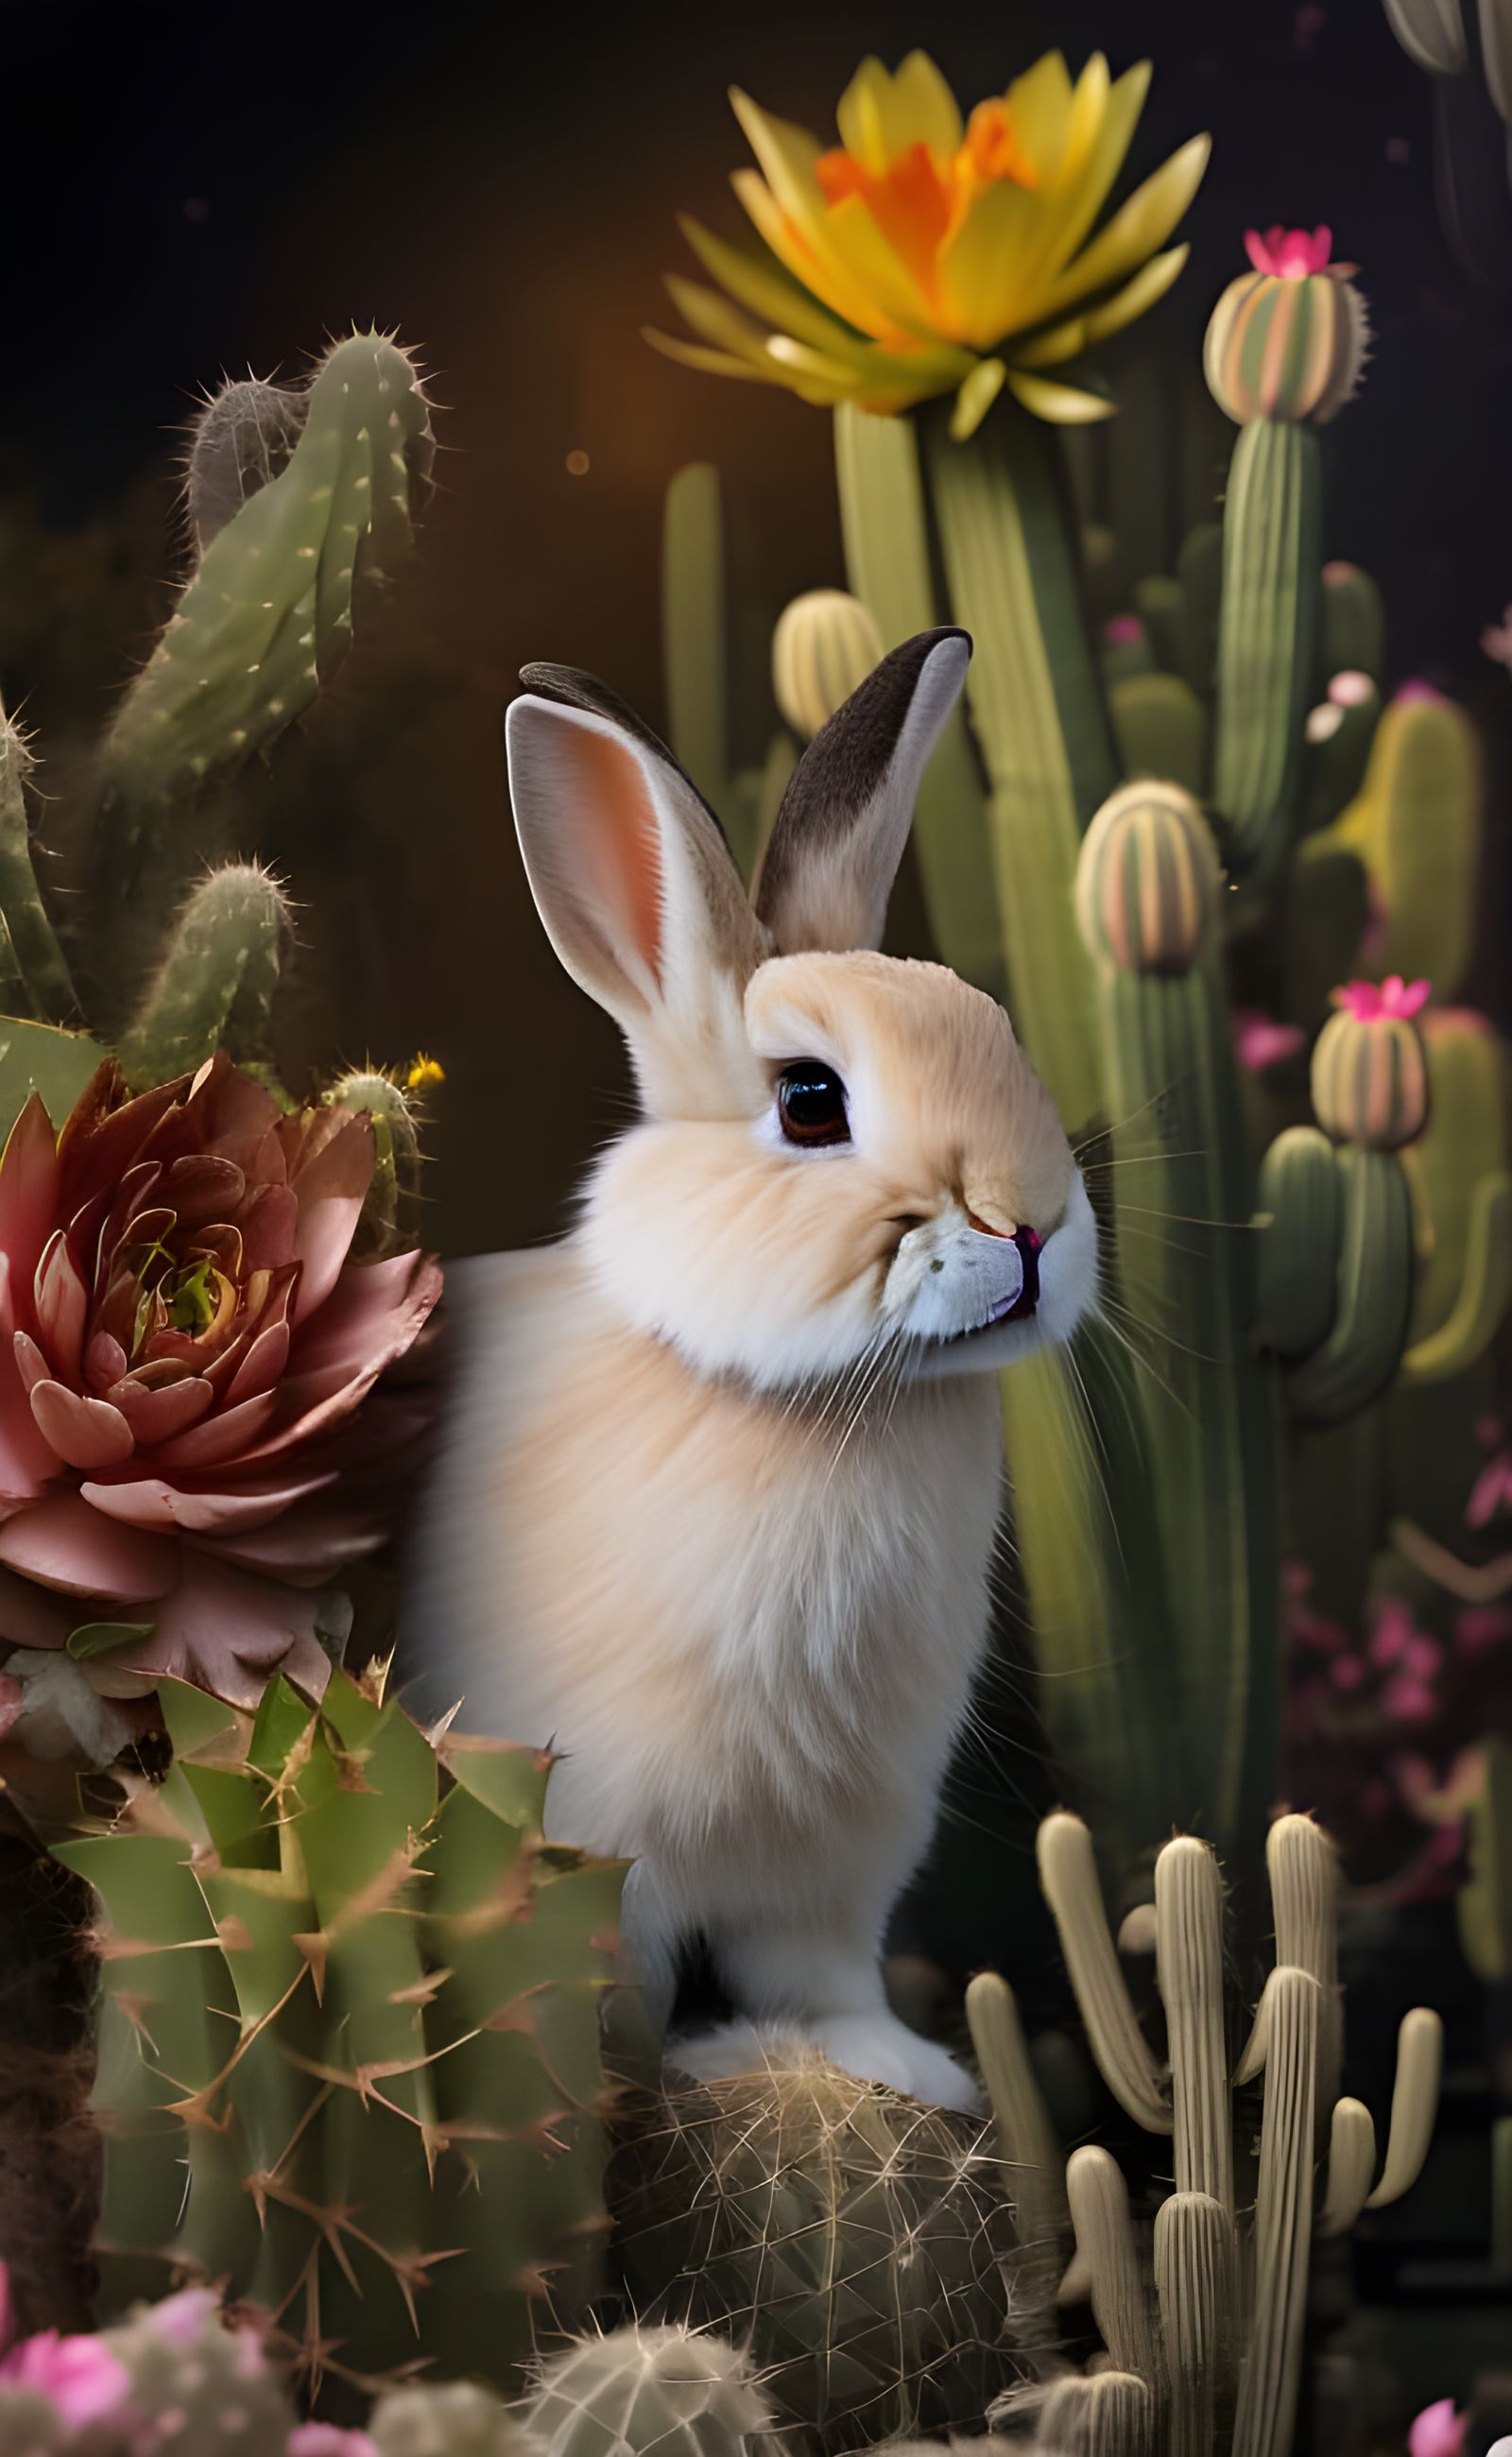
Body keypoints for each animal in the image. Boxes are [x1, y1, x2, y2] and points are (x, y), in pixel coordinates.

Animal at [404, 627, 1097, 2112]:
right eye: (811, 1101)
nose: (1032, 1224)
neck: (813, 1407)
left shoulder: (835, 1858)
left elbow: (819, 1982)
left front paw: (898, 2071)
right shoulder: (604, 1826)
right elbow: (616, 1989)